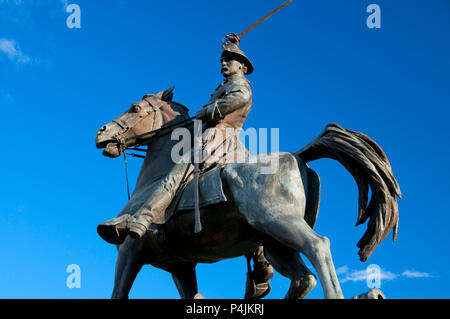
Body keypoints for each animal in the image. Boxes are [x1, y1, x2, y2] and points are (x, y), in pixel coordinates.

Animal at [94, 87, 400, 300]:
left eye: (134, 107)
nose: (101, 132)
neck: (154, 176)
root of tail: (299, 156)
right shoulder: (181, 266)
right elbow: (195, 296)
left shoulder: (130, 252)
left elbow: (118, 294)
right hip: (276, 245)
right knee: (304, 279)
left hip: (279, 222)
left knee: (319, 247)